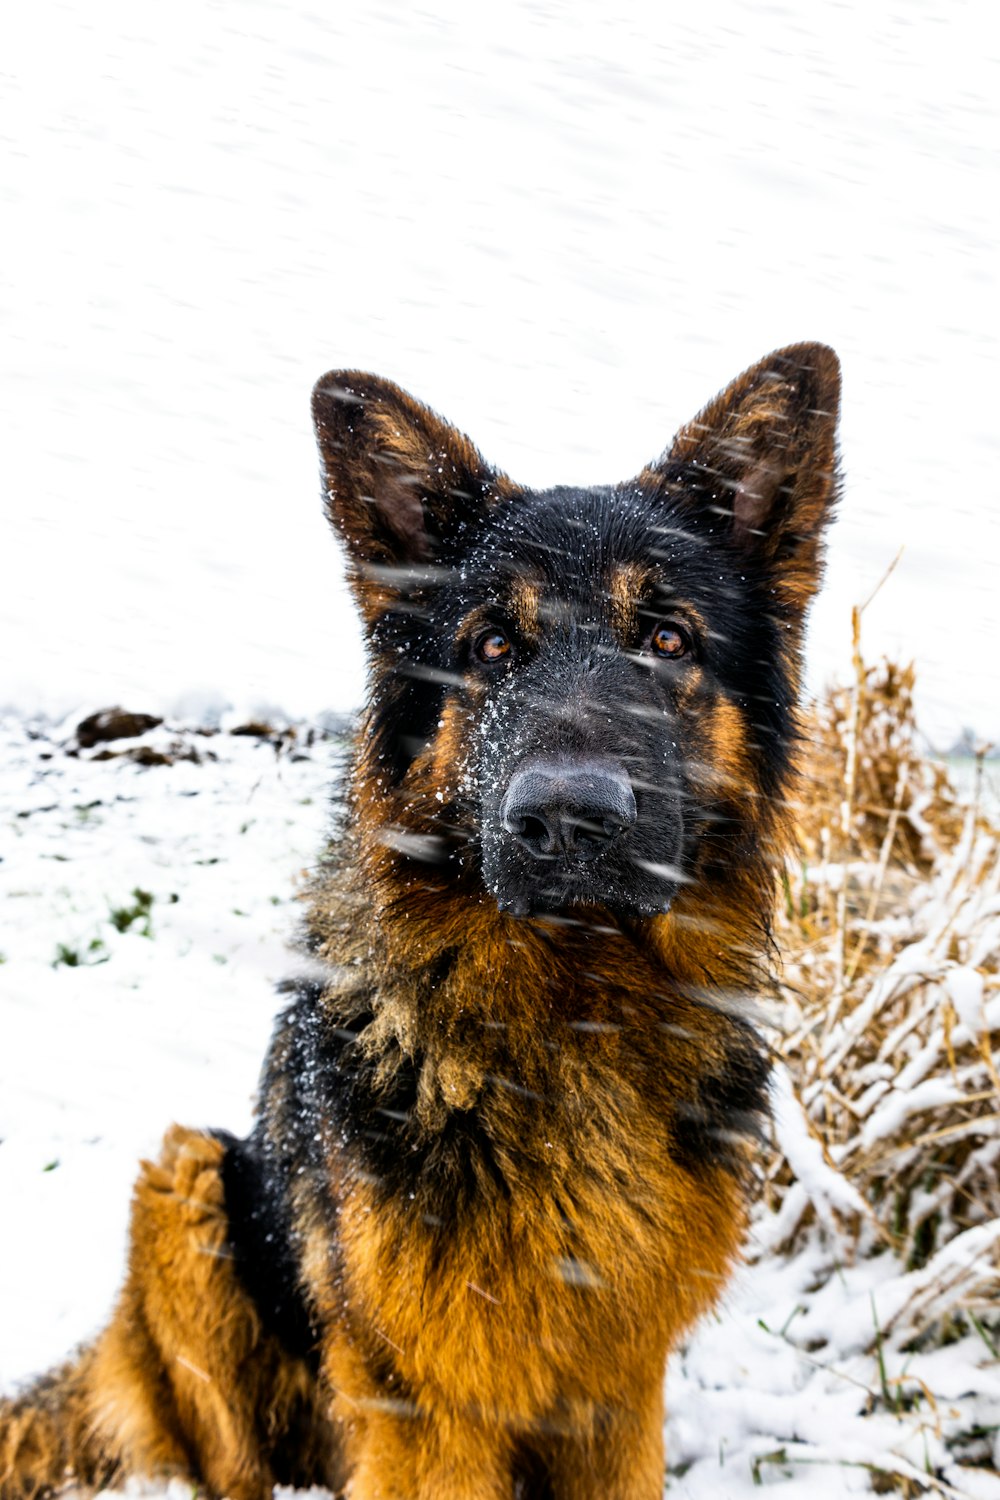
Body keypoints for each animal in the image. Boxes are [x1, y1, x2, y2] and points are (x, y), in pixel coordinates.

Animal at [0, 343, 839, 1500]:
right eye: (489, 646)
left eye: (668, 638)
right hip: (187, 1183)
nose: (565, 817)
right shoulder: (425, 1409)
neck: (570, 1017)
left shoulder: (615, 1396)